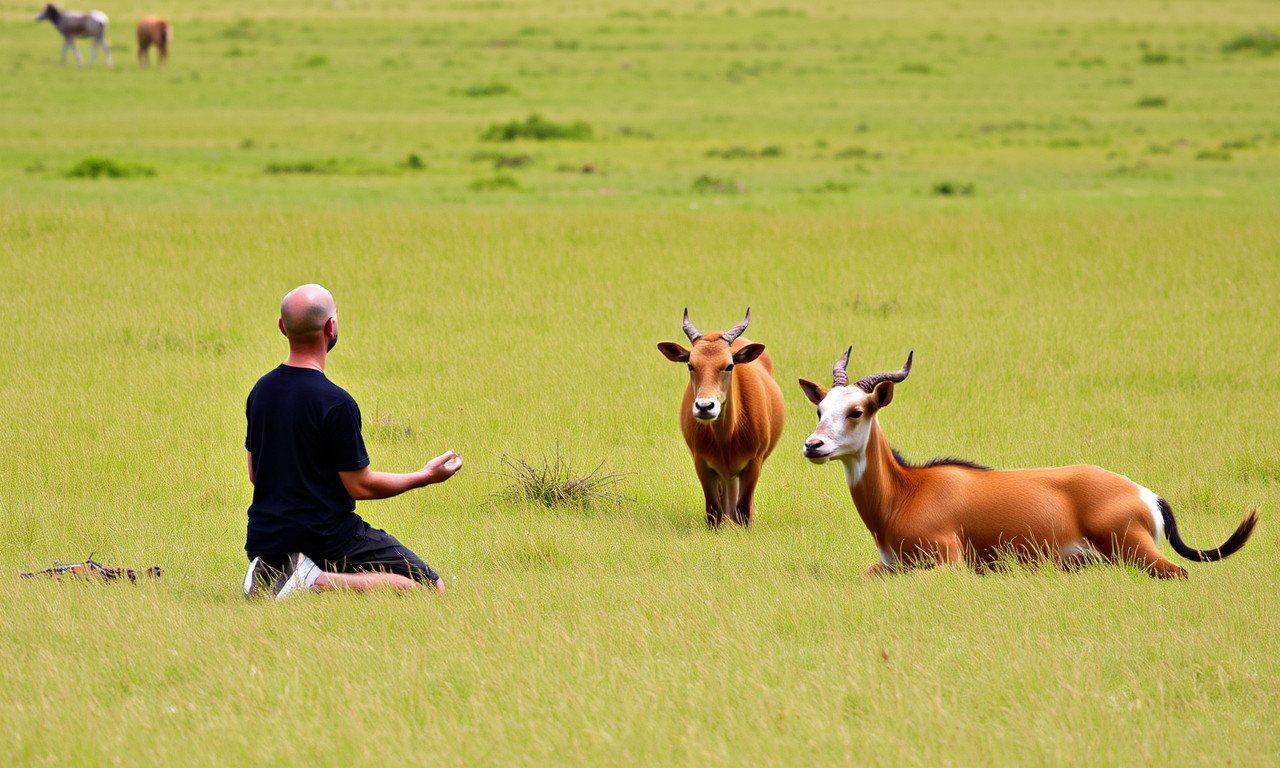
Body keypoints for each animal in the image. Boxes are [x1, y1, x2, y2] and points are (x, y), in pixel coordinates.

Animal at [660, 308, 778, 524]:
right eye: (690, 364)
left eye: (729, 365)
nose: (705, 406)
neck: (727, 437)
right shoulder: (702, 464)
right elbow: (713, 511)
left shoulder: (754, 463)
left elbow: (744, 511)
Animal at [798, 348, 1259, 576]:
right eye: (820, 408)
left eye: (857, 410)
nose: (813, 445)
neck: (907, 492)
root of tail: (1146, 494)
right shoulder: (887, 566)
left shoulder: (949, 564)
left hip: (1136, 551)